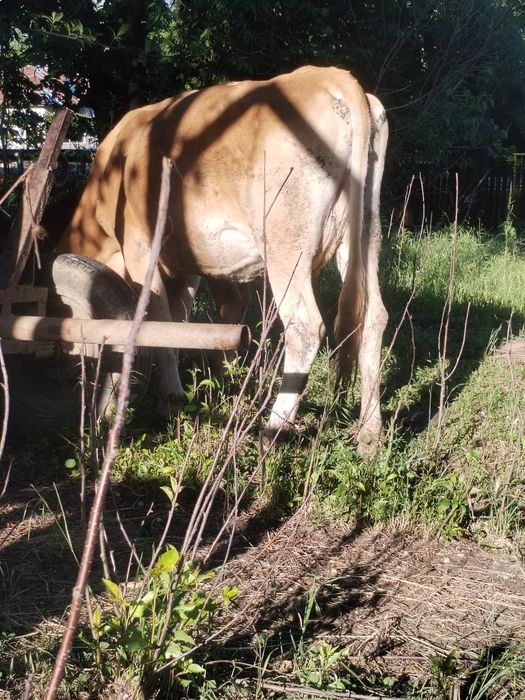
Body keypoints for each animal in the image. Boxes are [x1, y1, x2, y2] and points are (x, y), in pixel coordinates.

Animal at [56, 66, 389, 456]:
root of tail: (328, 76)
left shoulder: (142, 248)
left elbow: (157, 318)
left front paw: (171, 397)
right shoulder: (186, 266)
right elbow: (181, 321)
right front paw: (216, 383)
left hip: (285, 244)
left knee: (305, 325)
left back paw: (273, 428)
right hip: (363, 236)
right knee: (373, 317)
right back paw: (369, 433)